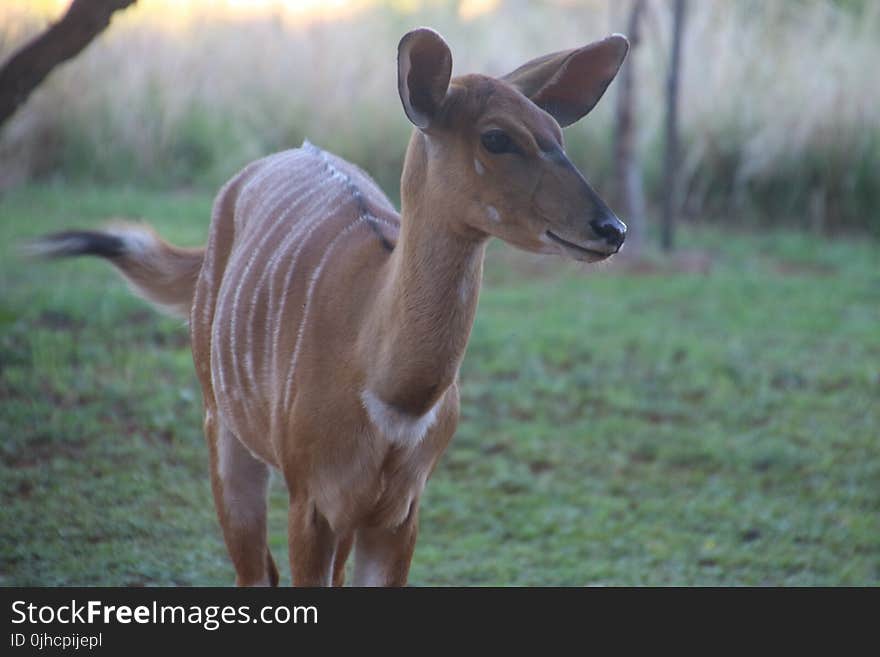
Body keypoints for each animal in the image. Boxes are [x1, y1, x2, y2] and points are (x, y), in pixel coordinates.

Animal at [31, 28, 624, 588]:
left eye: (557, 135)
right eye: (497, 137)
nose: (611, 228)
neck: (391, 390)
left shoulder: (397, 513)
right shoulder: (311, 502)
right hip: (222, 428)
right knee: (253, 570)